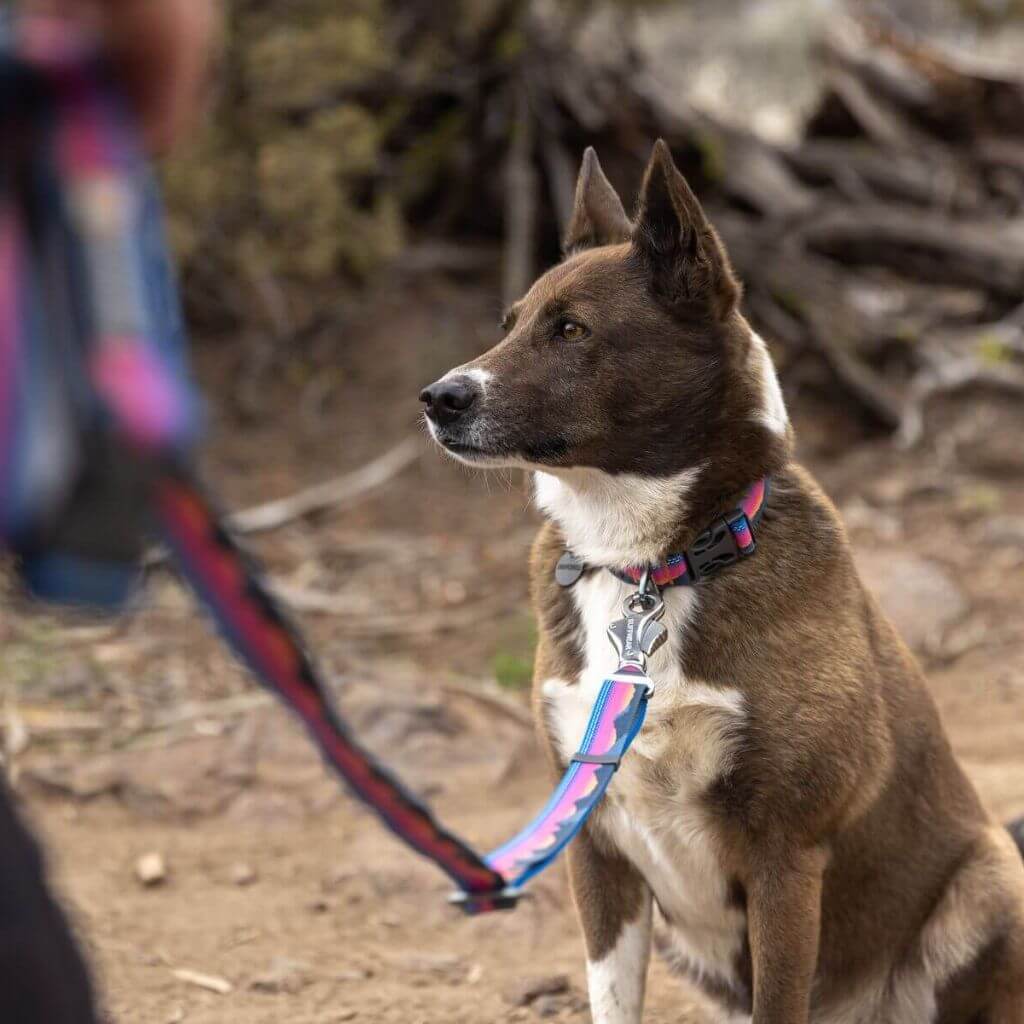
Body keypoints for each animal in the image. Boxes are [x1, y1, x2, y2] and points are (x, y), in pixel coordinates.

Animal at [419, 140, 1024, 1019]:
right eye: (511, 326)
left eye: (571, 330)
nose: (437, 399)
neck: (650, 566)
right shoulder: (595, 845)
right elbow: (611, 999)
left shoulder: (785, 856)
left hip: (992, 878)